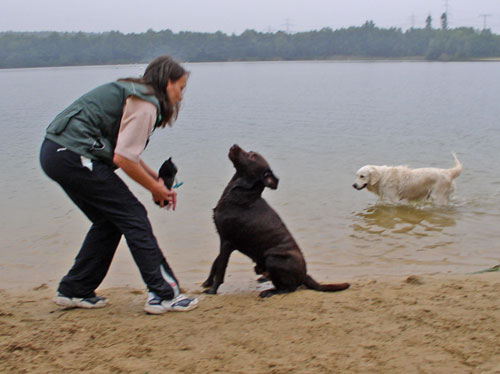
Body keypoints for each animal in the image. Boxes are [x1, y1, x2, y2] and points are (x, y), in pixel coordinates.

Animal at [201, 145, 350, 296]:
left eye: (252, 156)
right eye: (250, 152)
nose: (234, 145)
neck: (240, 193)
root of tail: (305, 275)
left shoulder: (227, 241)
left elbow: (221, 269)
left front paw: (212, 290)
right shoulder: (224, 240)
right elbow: (215, 263)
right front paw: (207, 282)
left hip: (272, 258)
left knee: (289, 288)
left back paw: (269, 292)